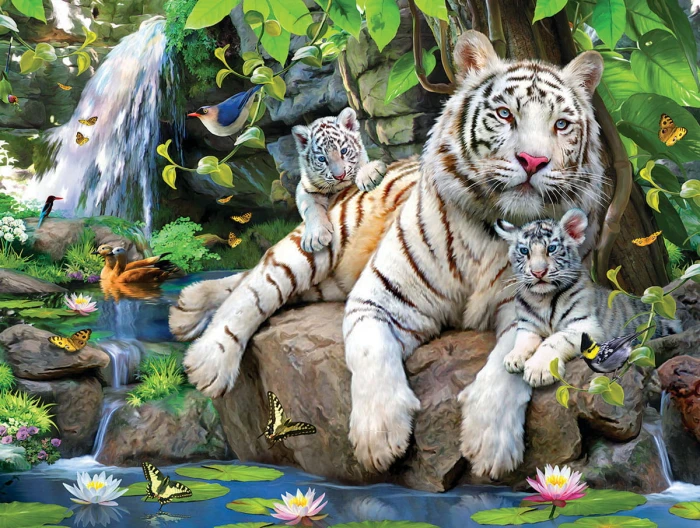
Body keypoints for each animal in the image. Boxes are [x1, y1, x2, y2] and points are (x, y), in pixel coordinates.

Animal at [293, 107, 387, 252]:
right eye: (322, 159)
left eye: (343, 151)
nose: (340, 176)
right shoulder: (304, 188)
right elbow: (311, 207)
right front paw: (315, 237)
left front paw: (369, 174)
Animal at [495, 208, 681, 385]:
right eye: (524, 251)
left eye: (551, 249)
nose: (538, 272)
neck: (543, 298)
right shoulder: (528, 326)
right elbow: (523, 339)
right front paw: (513, 357)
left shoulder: (585, 325)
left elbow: (555, 340)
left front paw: (538, 370)